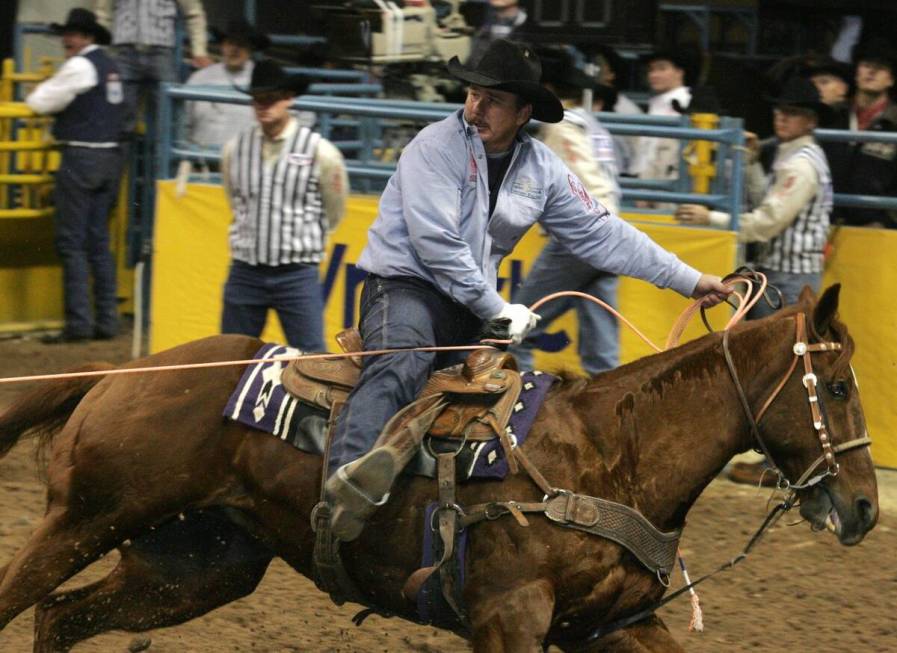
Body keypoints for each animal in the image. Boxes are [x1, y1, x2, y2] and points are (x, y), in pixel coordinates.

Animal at [0, 286, 880, 652]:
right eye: (836, 385)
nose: (866, 507)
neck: (607, 455)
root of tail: (123, 371)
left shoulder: (608, 626)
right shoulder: (508, 617)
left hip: (192, 564)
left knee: (60, 617)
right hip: (81, 518)